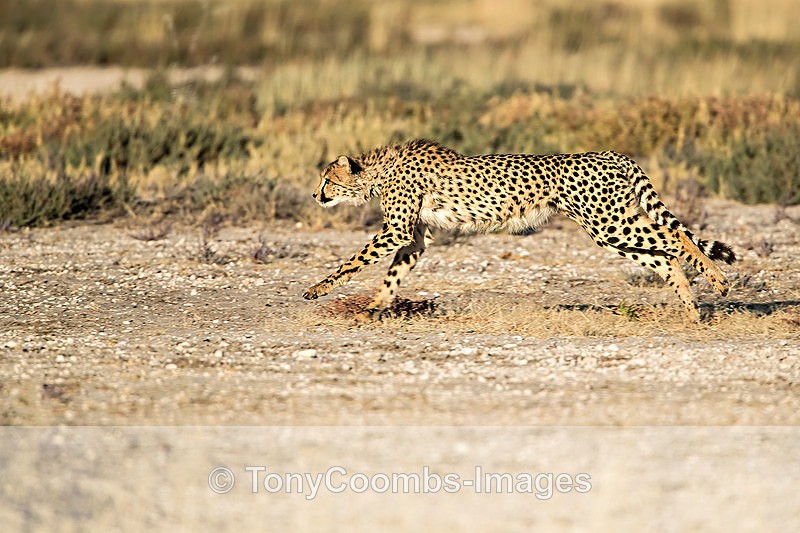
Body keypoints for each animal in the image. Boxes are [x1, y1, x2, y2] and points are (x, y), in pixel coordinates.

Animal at [303, 139, 736, 322]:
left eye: (327, 179)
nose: (314, 195)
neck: (380, 171)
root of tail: (611, 152)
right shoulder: (414, 238)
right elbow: (392, 275)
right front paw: (373, 308)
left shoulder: (396, 231)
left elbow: (352, 262)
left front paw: (317, 289)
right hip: (610, 231)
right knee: (665, 257)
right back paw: (691, 311)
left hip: (608, 222)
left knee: (676, 238)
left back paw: (716, 280)